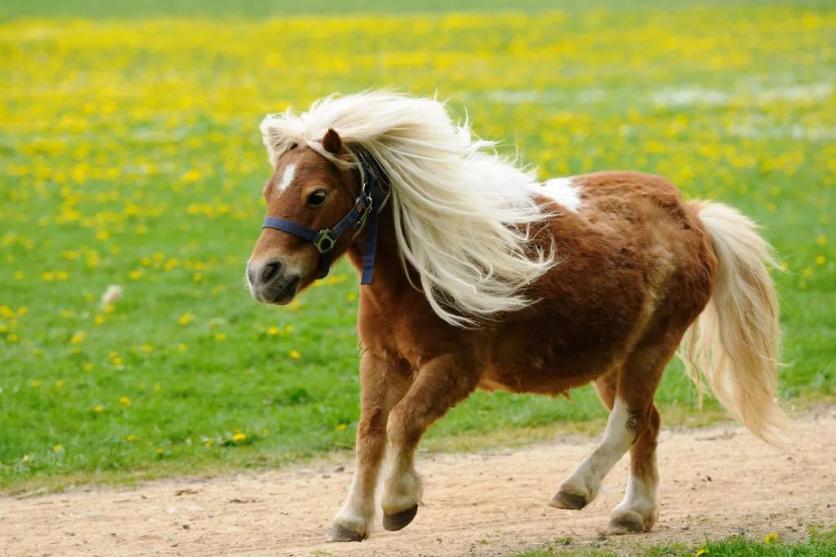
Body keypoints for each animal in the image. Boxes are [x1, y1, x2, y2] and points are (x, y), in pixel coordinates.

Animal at [245, 90, 788, 540]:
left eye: (317, 194)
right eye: (269, 191)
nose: (263, 275)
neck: (416, 272)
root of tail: (692, 214)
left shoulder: (455, 366)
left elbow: (404, 421)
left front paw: (400, 503)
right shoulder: (381, 360)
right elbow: (370, 432)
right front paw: (352, 519)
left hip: (653, 346)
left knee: (629, 420)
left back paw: (577, 490)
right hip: (614, 360)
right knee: (647, 423)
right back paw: (634, 513)